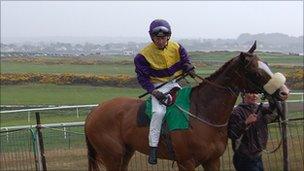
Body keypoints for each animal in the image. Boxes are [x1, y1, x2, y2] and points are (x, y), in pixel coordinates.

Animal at [84, 41, 288, 171]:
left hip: (125, 154)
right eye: (256, 72)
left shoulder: (213, 161)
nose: (284, 92)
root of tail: (94, 111)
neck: (203, 113)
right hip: (112, 156)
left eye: (267, 64)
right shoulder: (186, 163)